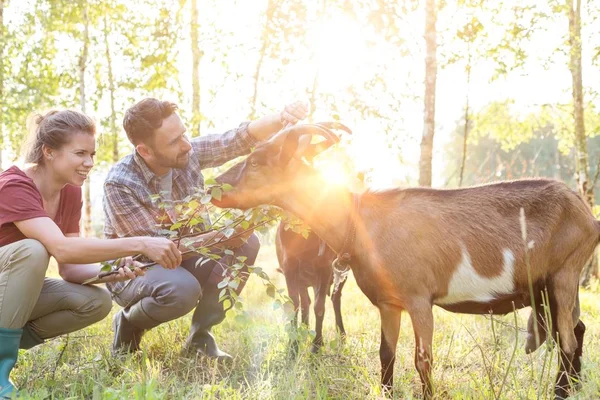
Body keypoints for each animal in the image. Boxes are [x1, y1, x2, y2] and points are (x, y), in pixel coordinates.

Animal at [274, 223, 344, 354]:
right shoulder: (289, 267)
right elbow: (294, 304)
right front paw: (293, 345)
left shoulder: (325, 267)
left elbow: (319, 307)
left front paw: (317, 345)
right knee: (306, 302)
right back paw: (304, 332)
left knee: (335, 298)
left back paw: (342, 335)